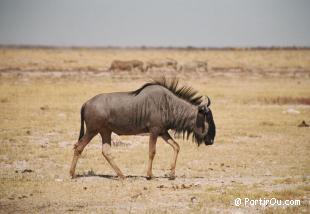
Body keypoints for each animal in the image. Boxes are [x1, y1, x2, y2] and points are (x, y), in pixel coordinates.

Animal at [70, 77, 216, 180]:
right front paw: (149, 175)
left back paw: (122, 175)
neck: (169, 104)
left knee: (105, 151)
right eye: (208, 118)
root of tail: (86, 103)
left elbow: (176, 146)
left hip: (105, 131)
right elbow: (152, 151)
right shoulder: (154, 130)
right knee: (79, 147)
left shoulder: (163, 131)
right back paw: (72, 174)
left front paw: (172, 174)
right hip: (92, 131)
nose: (211, 141)